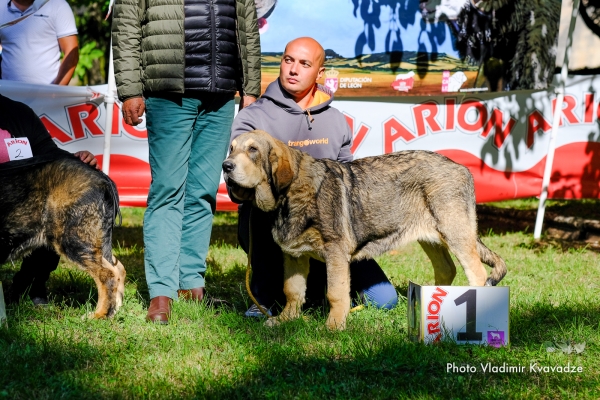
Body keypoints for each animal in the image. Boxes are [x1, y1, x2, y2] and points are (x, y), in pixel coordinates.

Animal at [0, 156, 125, 318]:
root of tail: (103, 178)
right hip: (94, 240)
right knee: (118, 268)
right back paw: (115, 309)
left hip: (73, 240)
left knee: (108, 274)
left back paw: (99, 315)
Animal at [225, 130, 506, 330]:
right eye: (232, 148)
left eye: (253, 150)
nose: (226, 166)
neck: (288, 195)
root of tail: (462, 168)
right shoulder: (294, 255)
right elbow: (292, 291)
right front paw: (286, 320)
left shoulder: (336, 253)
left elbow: (336, 293)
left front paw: (334, 326)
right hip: (432, 238)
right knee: (447, 270)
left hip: (455, 233)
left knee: (477, 274)